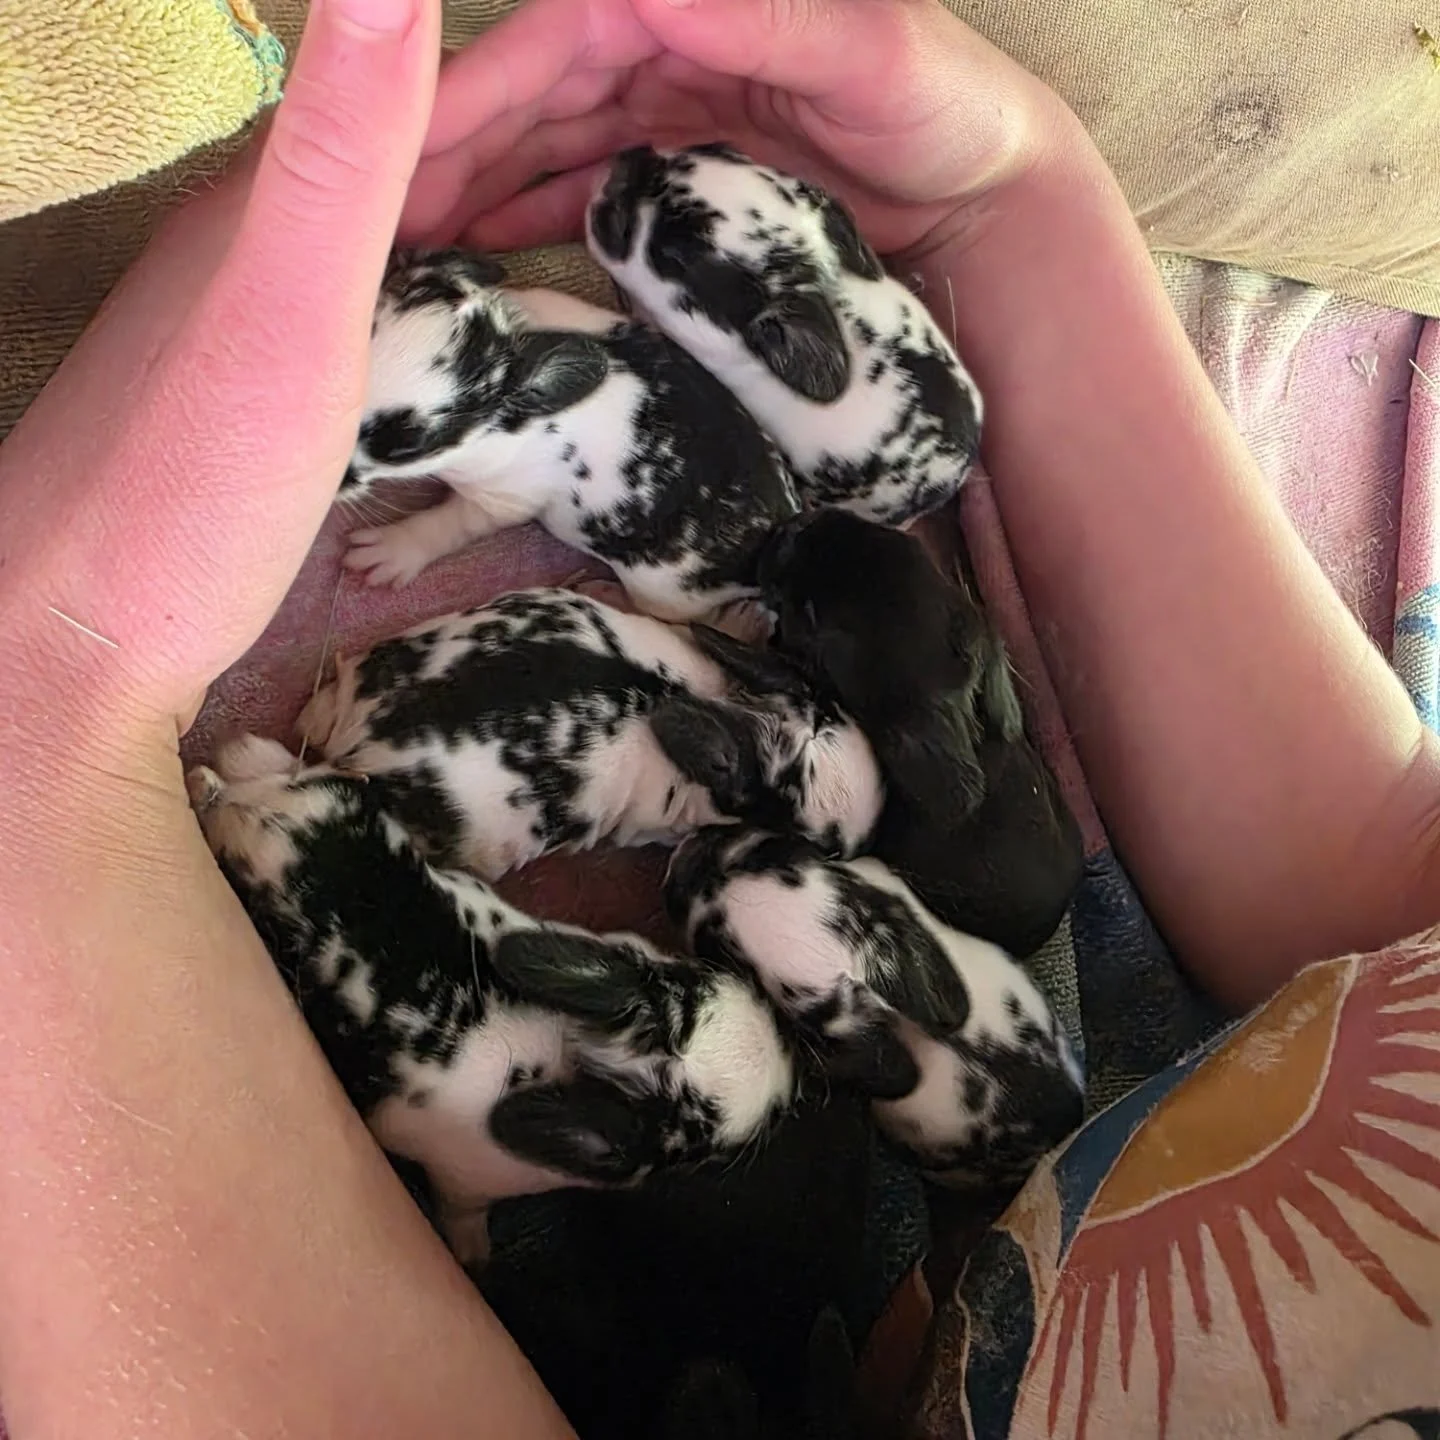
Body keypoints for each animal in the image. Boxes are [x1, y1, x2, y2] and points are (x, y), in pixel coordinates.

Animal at [186, 735, 798, 1265]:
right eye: (715, 1152)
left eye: (698, 972)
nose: (788, 1077)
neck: (565, 1058)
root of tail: (251, 816)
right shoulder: (461, 1186)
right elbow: (462, 1217)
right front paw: (474, 1256)